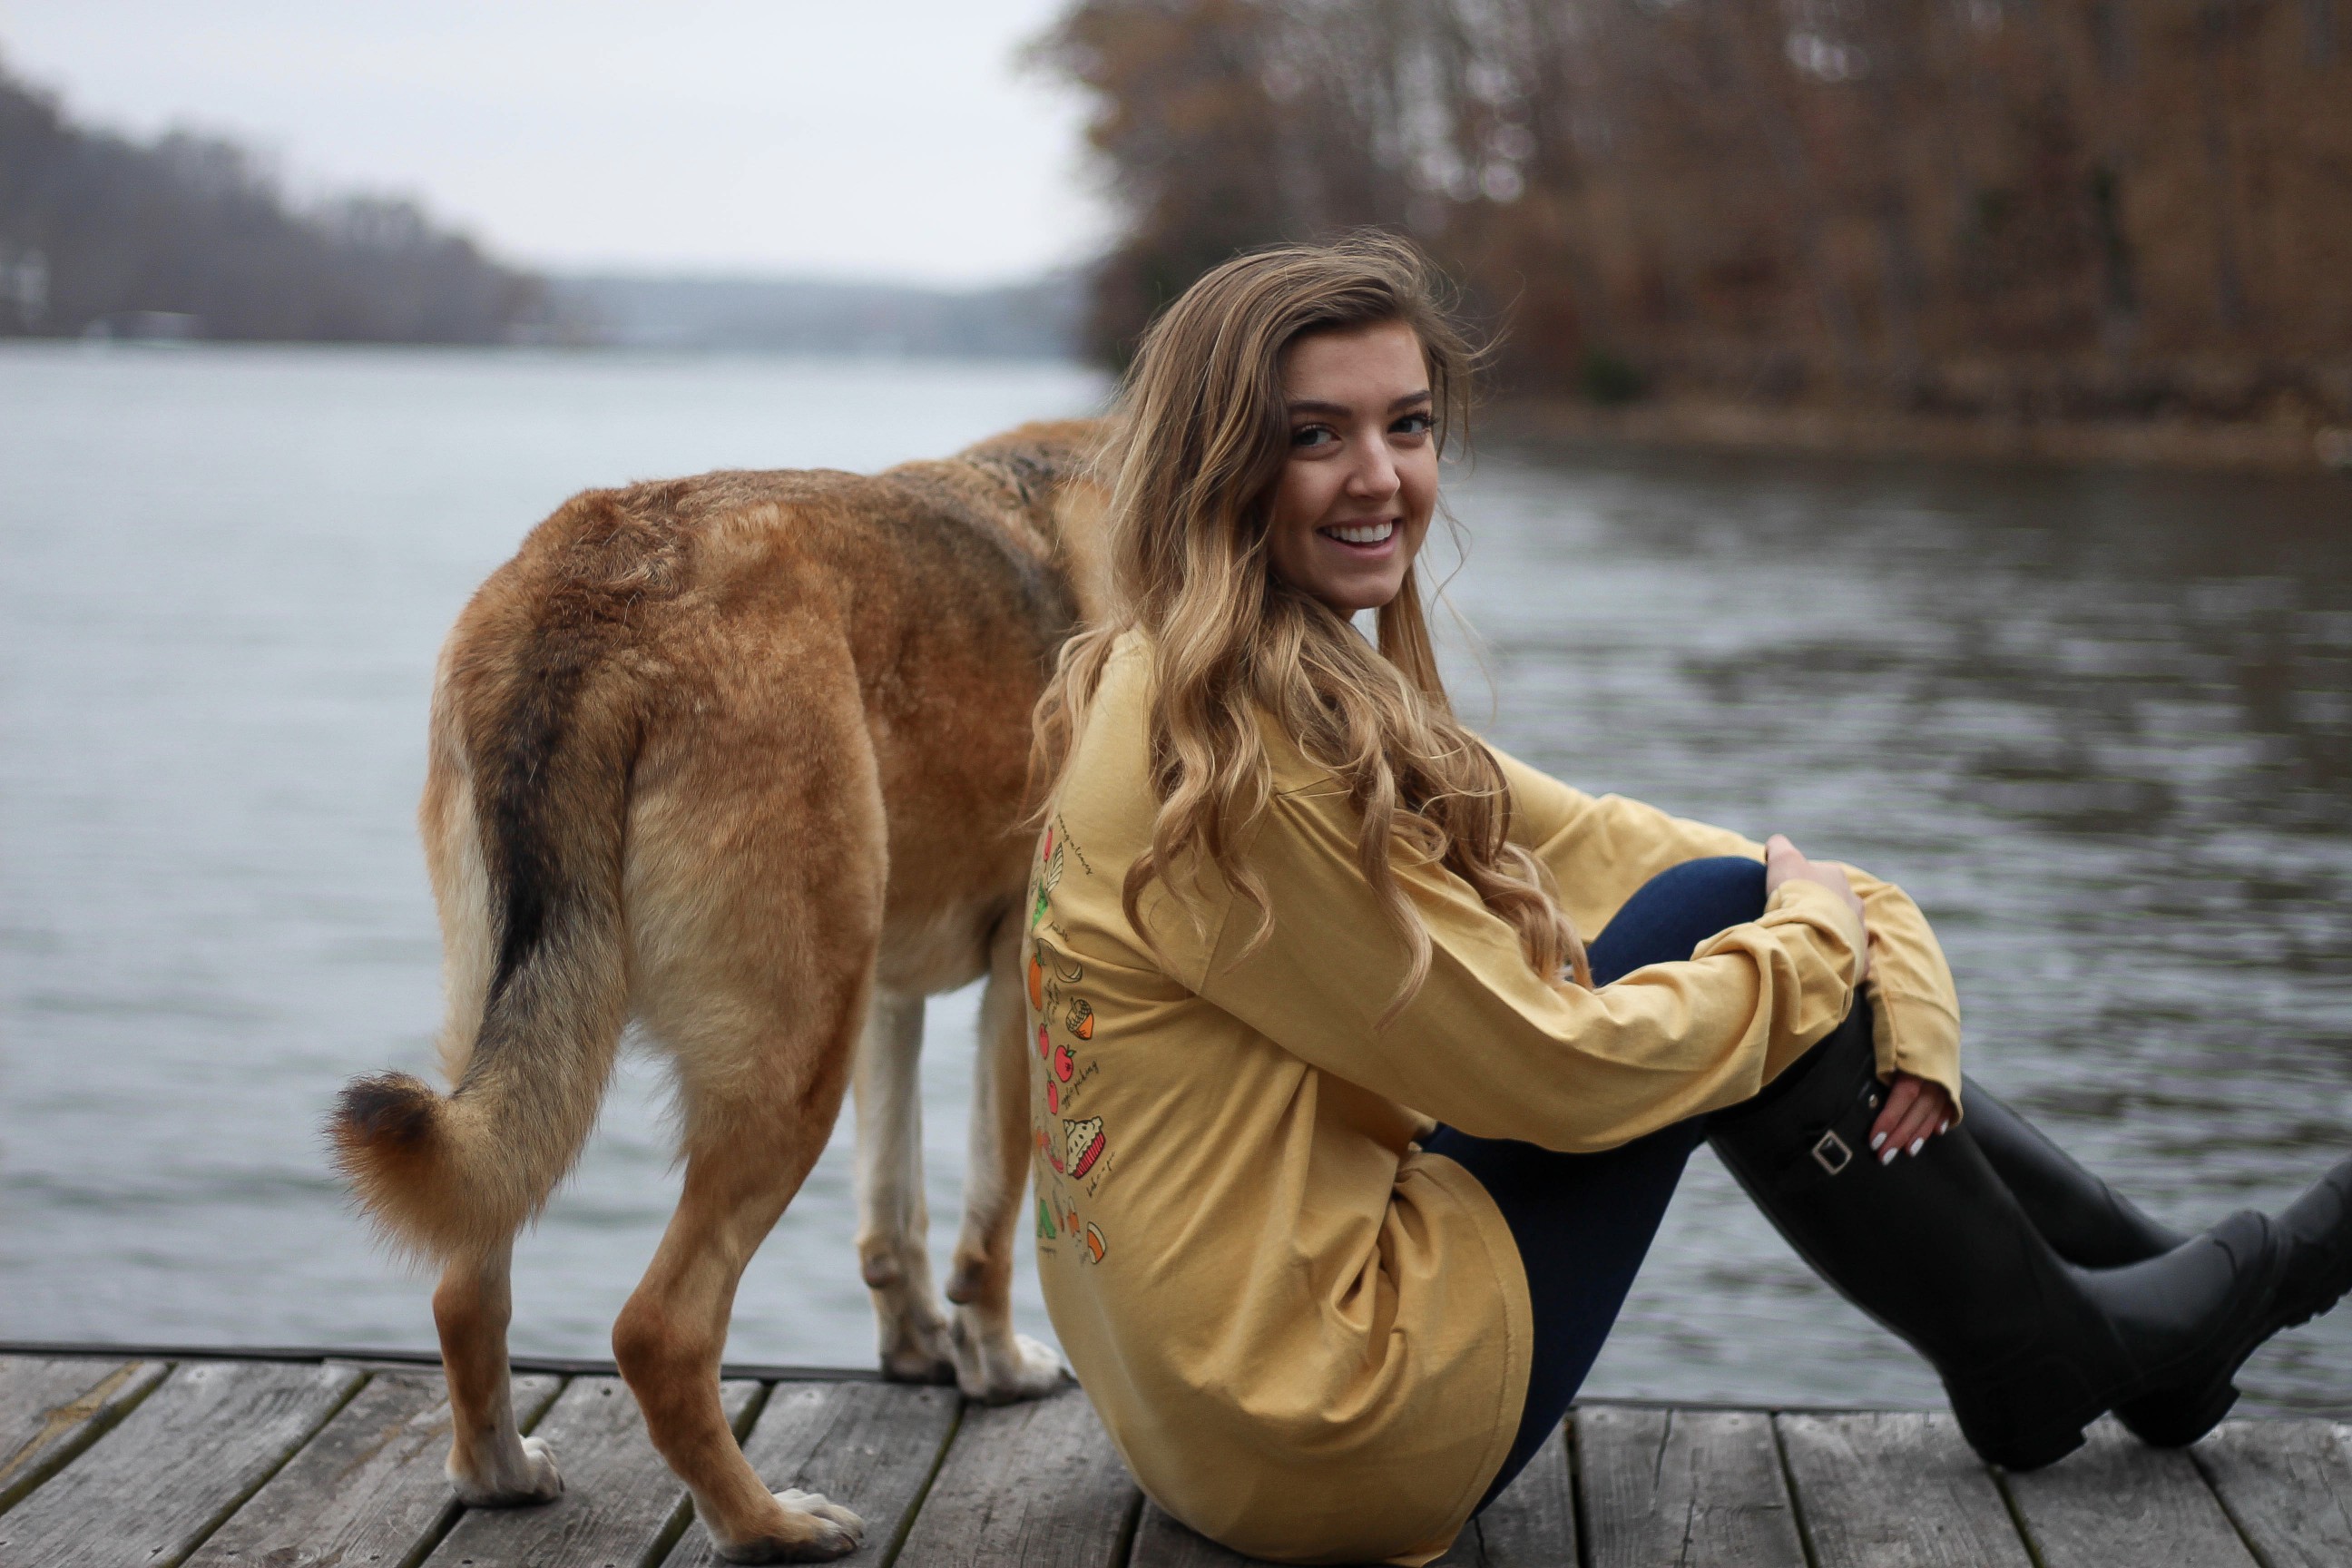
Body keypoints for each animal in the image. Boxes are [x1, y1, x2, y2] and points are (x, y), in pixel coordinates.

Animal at [324, 416, 1119, 1561]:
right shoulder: (1012, 987)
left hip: (535, 1033)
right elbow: (989, 1220)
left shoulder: (886, 999)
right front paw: (998, 1365)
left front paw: (919, 1346)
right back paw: (765, 1523)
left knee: (465, 1289)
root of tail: (598, 597)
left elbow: (894, 1214)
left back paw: (501, 1475)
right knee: (660, 1331)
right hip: (790, 1067)